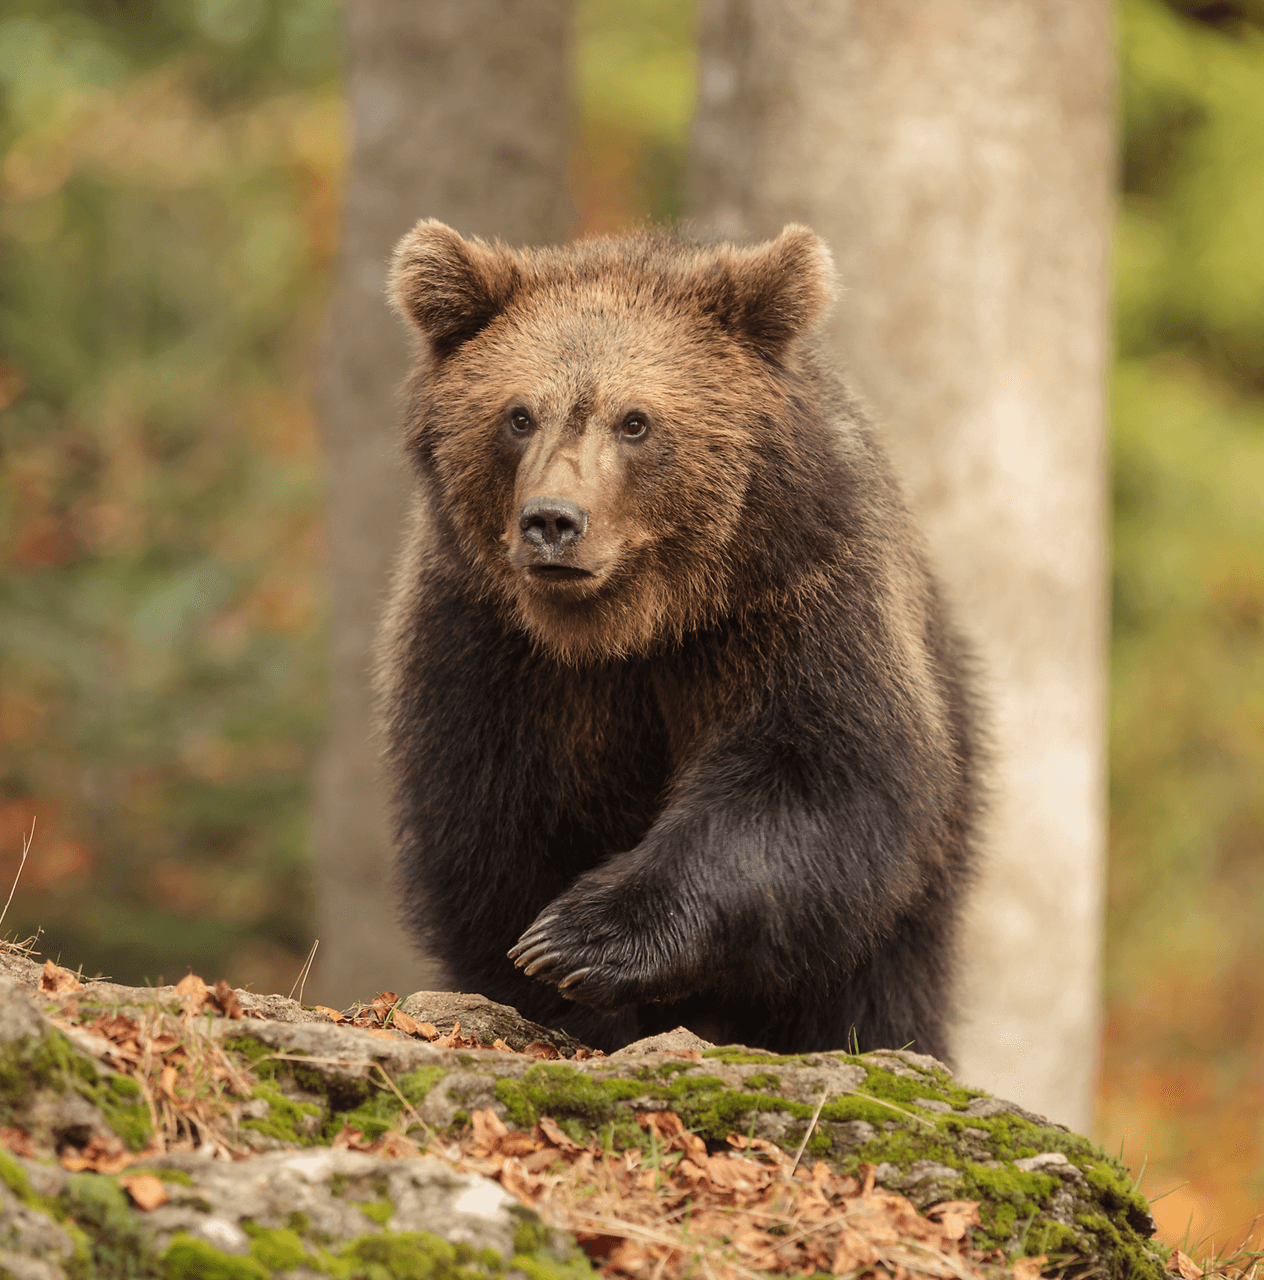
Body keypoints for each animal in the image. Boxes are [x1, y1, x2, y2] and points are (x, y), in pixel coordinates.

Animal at [381, 217, 982, 1059]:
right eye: (518, 414)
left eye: (635, 421)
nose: (552, 521)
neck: (630, 628)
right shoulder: (488, 644)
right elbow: (492, 830)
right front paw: (553, 988)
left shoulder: (793, 606)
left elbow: (813, 774)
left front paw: (578, 939)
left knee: (880, 989)